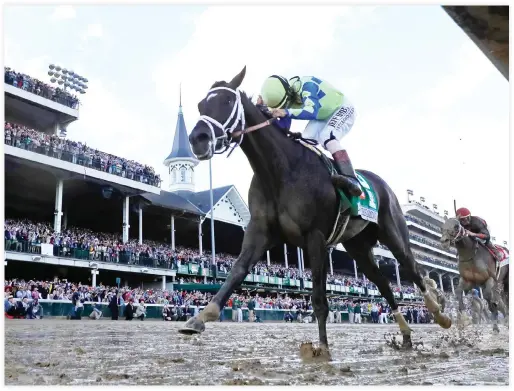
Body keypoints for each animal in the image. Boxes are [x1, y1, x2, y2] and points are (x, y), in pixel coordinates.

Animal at [179, 66, 448, 356]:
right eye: (201, 105)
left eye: (228, 101)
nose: (197, 139)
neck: (279, 171)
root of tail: (382, 185)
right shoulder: (260, 231)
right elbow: (236, 272)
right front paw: (199, 318)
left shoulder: (315, 236)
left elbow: (319, 299)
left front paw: (322, 349)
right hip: (359, 247)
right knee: (384, 284)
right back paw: (406, 335)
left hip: (393, 233)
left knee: (414, 270)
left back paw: (441, 314)